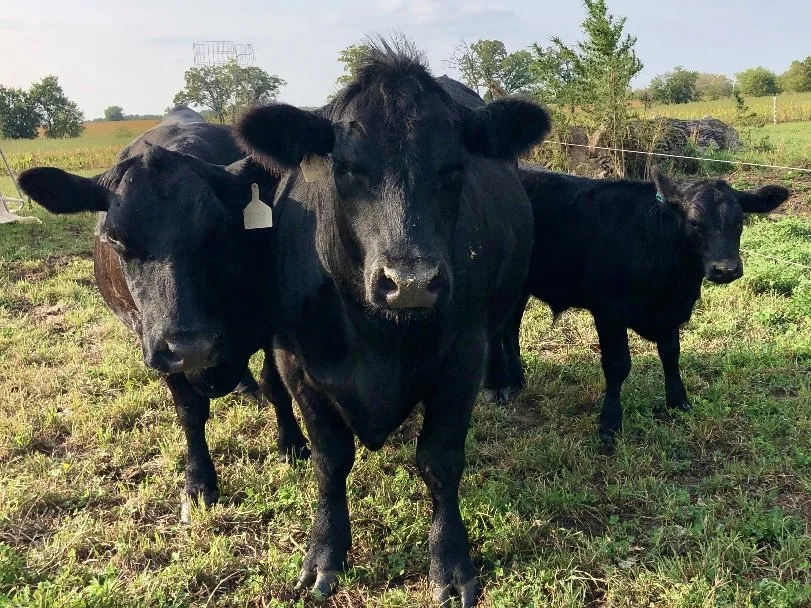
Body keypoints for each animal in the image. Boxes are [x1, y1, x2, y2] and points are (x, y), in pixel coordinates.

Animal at [18, 120, 309, 522]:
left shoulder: (269, 323)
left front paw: (293, 445)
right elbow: (189, 411)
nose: (192, 346)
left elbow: (275, 385)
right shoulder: (153, 342)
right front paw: (199, 481)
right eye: (114, 237)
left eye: (218, 227)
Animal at [235, 41, 551, 606]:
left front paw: (451, 563)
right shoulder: (296, 363)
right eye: (346, 169)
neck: (377, 337)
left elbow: (440, 460)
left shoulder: (461, 360)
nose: (410, 282)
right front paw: (324, 555)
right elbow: (330, 459)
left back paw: (502, 382)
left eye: (454, 167)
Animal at [491, 164, 789, 443]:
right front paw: (610, 423)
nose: (725, 269)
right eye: (694, 222)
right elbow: (618, 365)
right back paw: (498, 386)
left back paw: (517, 379)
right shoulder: (609, 311)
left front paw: (678, 401)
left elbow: (671, 354)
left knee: (510, 325)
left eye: (740, 220)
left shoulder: (670, 313)